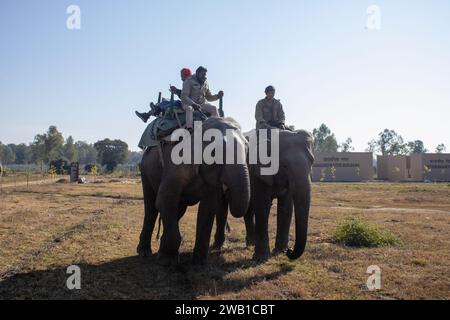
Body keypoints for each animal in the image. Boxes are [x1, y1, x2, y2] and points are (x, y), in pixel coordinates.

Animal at [136, 117, 250, 264]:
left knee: (177, 210)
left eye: (247, 149)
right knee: (151, 208)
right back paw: (145, 253)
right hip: (144, 169)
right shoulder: (175, 166)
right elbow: (164, 200)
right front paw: (168, 261)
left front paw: (198, 263)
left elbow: (208, 208)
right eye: (215, 151)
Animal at [214, 129, 312, 262]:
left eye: (312, 162)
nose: (290, 250)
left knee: (248, 210)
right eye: (284, 166)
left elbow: (286, 207)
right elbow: (262, 204)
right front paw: (261, 258)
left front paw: (280, 251)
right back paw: (219, 246)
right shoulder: (257, 172)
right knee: (223, 206)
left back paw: (251, 243)